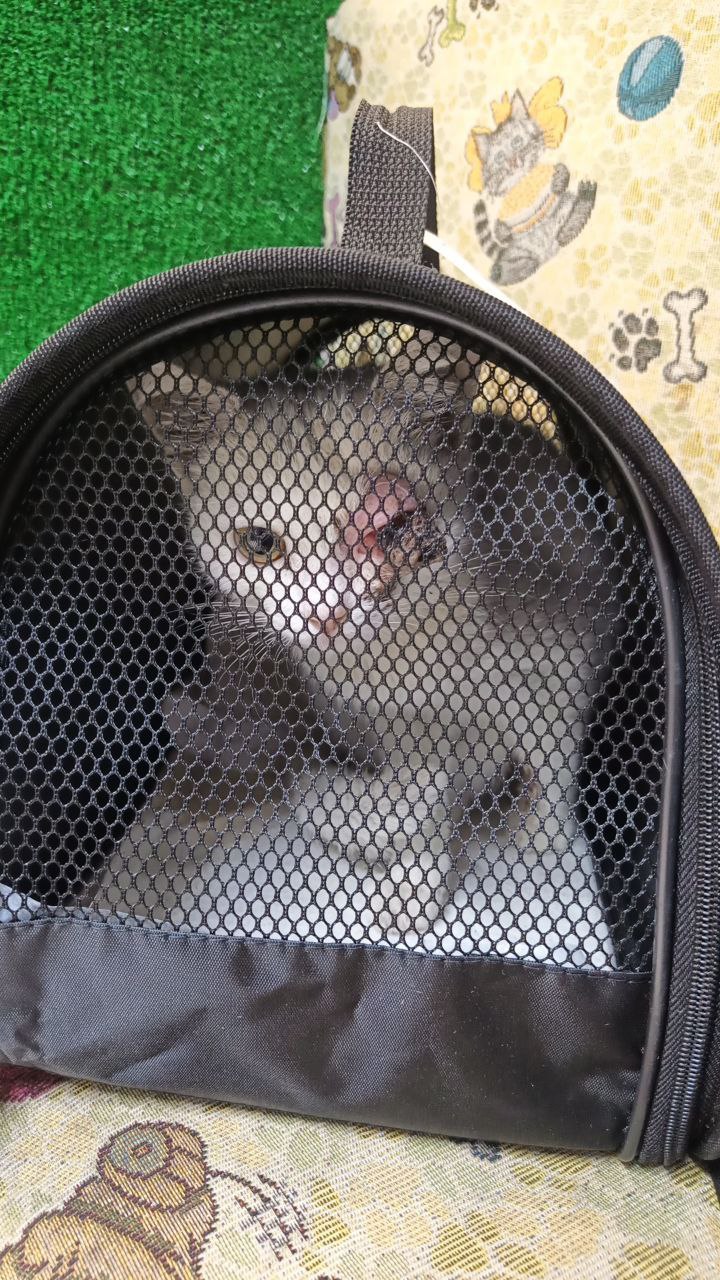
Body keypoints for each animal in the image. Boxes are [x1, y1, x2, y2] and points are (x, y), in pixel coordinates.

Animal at [89, 333, 619, 965]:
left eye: (391, 529)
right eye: (260, 541)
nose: (327, 614)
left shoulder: (565, 630)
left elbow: (552, 751)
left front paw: (541, 838)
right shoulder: (384, 724)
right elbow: (426, 791)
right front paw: (413, 879)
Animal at [467, 79, 597, 286]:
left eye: (517, 141)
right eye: (500, 157)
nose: (514, 162)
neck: (524, 183)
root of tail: (547, 253)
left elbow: (563, 170)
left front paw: (558, 180)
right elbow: (500, 229)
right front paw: (503, 231)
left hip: (566, 207)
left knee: (571, 222)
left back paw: (578, 211)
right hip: (517, 252)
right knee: (512, 267)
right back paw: (507, 270)